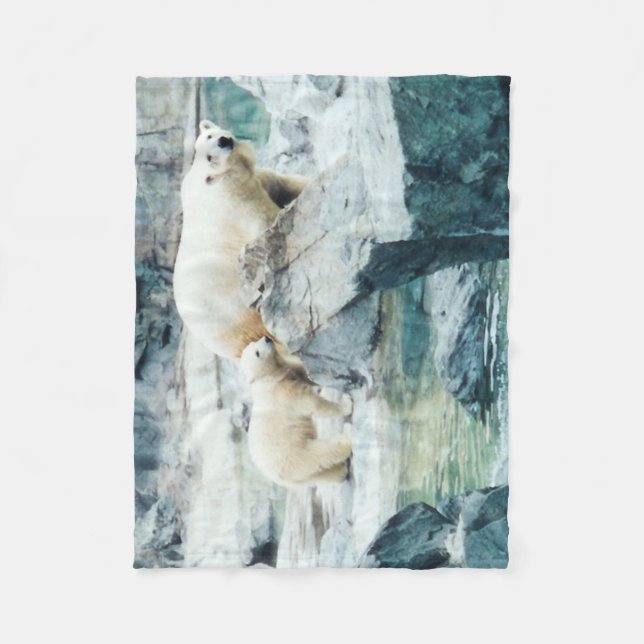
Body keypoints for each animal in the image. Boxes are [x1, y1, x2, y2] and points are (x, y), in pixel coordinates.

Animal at [173, 120, 308, 360]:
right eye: (210, 157)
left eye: (209, 135)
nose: (223, 141)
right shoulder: (238, 206)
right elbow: (269, 223)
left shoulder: (256, 180)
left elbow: (285, 184)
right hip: (236, 312)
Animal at [239, 336, 353, 487]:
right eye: (257, 353)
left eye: (253, 342)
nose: (267, 338)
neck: (269, 379)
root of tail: (276, 477)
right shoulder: (285, 393)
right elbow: (313, 404)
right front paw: (346, 404)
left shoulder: (292, 371)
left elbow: (304, 375)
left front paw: (319, 387)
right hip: (290, 455)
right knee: (317, 454)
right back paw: (347, 436)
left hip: (296, 476)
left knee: (317, 474)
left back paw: (341, 472)